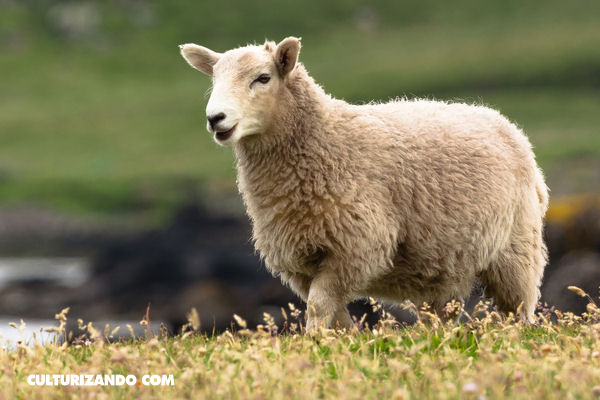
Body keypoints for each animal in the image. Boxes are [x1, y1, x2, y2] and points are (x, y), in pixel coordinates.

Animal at [178, 36, 548, 332]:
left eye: (263, 78)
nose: (215, 118)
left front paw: (314, 342)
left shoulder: (356, 246)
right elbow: (331, 310)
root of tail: (504, 122)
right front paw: (341, 341)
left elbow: (319, 306)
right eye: (214, 80)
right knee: (442, 314)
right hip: (447, 263)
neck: (327, 140)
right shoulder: (303, 261)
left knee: (518, 310)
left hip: (516, 249)